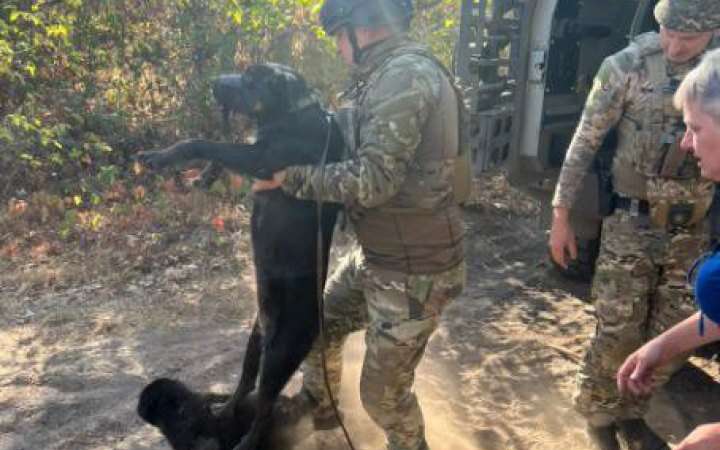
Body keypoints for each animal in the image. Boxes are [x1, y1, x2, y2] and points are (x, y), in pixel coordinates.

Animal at [139, 64, 348, 450]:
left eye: (252, 81)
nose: (214, 83)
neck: (292, 111)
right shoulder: (252, 152)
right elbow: (218, 152)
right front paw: (204, 178)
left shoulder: (262, 158)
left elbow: (204, 142)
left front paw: (161, 156)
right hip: (254, 344)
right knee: (244, 385)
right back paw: (223, 410)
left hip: (280, 357)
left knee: (264, 406)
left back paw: (246, 442)